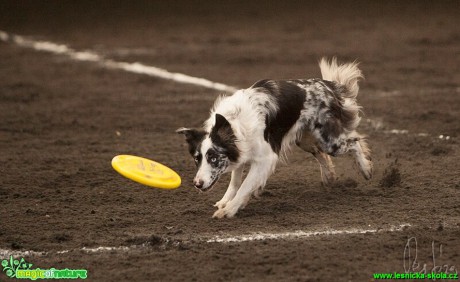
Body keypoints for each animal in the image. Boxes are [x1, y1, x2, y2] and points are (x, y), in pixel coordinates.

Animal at [178, 57, 372, 218]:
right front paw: (226, 201)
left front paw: (230, 209)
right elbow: (236, 181)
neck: (235, 122)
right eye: (196, 159)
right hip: (305, 140)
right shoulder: (241, 150)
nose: (197, 183)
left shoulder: (266, 157)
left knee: (354, 141)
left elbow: (245, 185)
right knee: (321, 154)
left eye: (213, 158)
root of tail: (328, 86)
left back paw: (366, 169)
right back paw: (329, 177)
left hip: (329, 141)